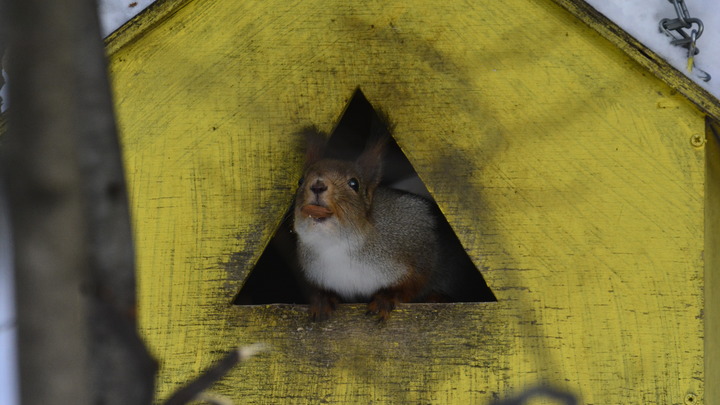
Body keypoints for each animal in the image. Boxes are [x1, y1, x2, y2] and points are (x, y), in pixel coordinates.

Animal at [292, 132, 490, 318]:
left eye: (354, 183)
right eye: (300, 181)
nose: (317, 186)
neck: (337, 244)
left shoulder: (415, 232)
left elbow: (416, 279)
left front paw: (387, 298)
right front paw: (323, 299)